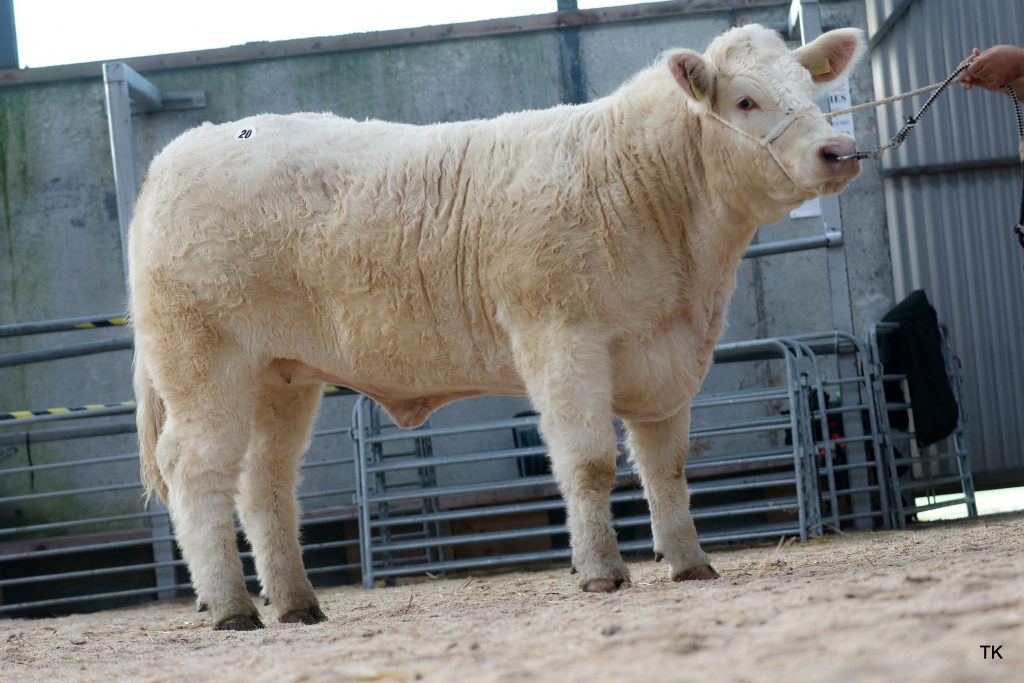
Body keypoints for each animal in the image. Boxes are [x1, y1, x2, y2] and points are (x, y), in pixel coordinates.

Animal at [129, 24, 865, 630]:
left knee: (266, 483)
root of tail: (178, 153)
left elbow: (667, 467)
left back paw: (296, 602)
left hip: (282, 378)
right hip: (203, 362)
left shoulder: (668, 359)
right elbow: (590, 461)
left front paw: (690, 563)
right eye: (745, 101)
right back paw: (231, 607)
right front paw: (602, 572)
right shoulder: (561, 338)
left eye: (811, 88)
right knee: (197, 471)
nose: (840, 150)